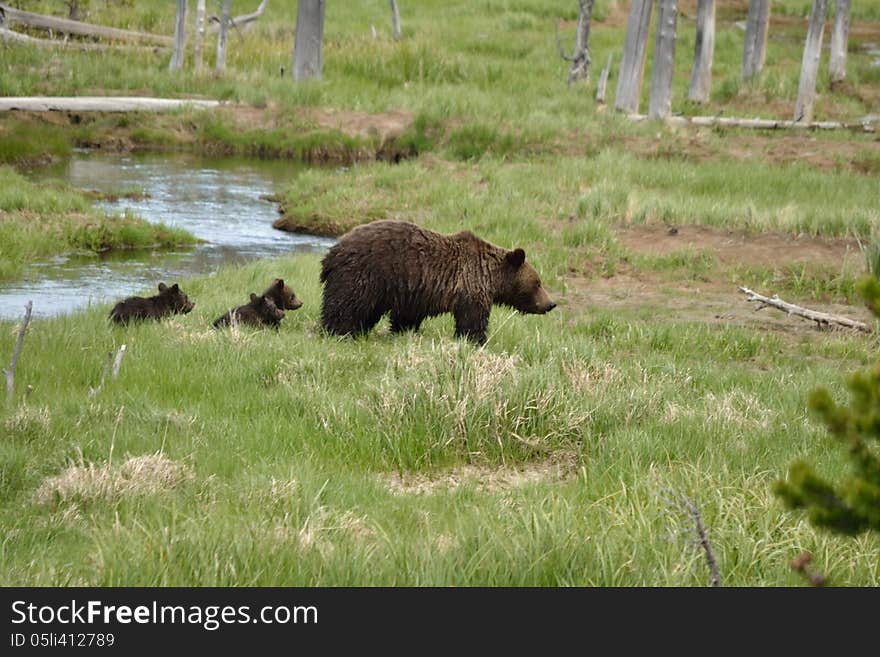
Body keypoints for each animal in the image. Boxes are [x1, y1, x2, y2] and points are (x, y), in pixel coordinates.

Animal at [320, 220, 552, 344]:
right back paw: (339, 332)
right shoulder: (470, 287)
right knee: (346, 306)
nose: (551, 304)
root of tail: (333, 251)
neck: (491, 277)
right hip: (365, 274)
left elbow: (406, 316)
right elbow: (472, 320)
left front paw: (404, 332)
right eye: (538, 283)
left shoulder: (413, 290)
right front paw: (477, 340)